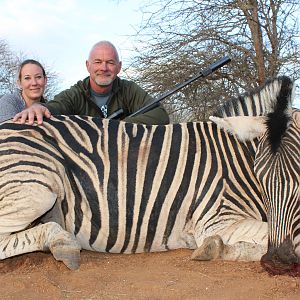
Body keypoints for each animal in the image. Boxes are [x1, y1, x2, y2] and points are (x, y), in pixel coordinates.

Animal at [0, 76, 298, 276]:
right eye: (260, 175)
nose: (278, 261)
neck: (236, 160)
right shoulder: (217, 221)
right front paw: (216, 249)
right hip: (36, 188)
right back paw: (62, 243)